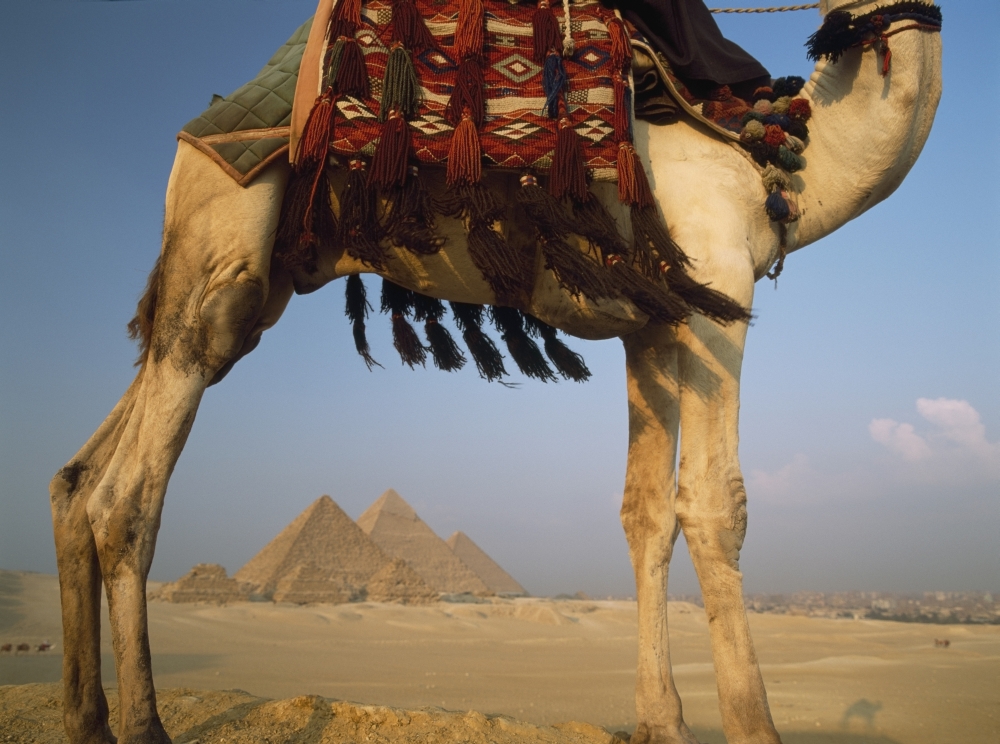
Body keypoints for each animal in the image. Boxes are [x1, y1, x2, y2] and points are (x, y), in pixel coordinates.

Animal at [48, 0, 941, 742]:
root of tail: (195, 136)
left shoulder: (653, 326)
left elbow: (645, 514)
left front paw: (662, 722)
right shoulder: (717, 292)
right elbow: (717, 506)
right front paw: (752, 727)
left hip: (250, 289)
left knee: (78, 477)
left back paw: (86, 716)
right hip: (223, 242)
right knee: (126, 493)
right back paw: (143, 724)